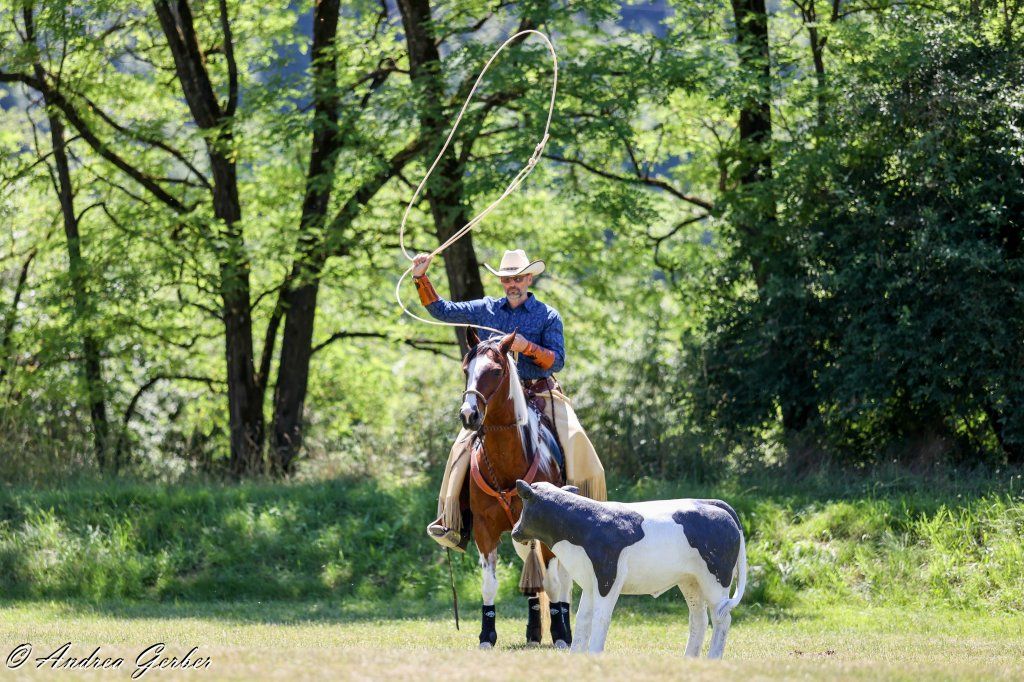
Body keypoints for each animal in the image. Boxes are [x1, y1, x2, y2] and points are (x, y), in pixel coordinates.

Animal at [458, 329, 574, 649]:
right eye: (466, 370)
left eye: (496, 371)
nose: (468, 415)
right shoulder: (485, 530)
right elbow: (489, 584)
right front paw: (487, 635)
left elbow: (554, 581)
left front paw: (561, 635)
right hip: (521, 536)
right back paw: (533, 632)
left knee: (562, 580)